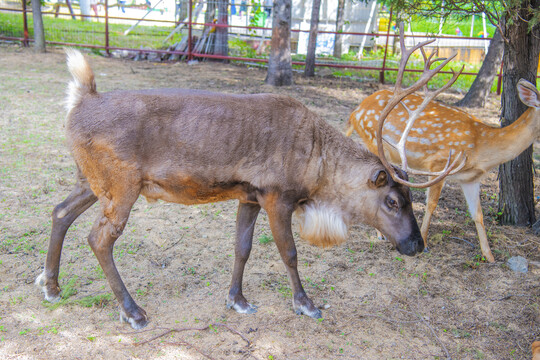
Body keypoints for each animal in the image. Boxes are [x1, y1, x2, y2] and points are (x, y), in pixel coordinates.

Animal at [37, 48, 426, 330]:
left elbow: (242, 248)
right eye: (393, 201)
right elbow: (290, 253)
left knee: (60, 212)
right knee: (99, 238)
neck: (318, 165)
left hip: (90, 181)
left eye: (410, 198)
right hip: (122, 186)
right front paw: (306, 304)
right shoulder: (277, 197)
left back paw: (51, 286)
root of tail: (81, 99)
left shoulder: (249, 196)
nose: (417, 245)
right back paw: (133, 311)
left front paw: (237, 300)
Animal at [346, 23, 540, 262]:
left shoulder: (471, 179)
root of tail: (355, 112)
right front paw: (424, 242)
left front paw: (489, 256)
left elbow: (478, 214)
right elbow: (431, 204)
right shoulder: (438, 164)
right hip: (374, 140)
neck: (482, 147)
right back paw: (379, 234)